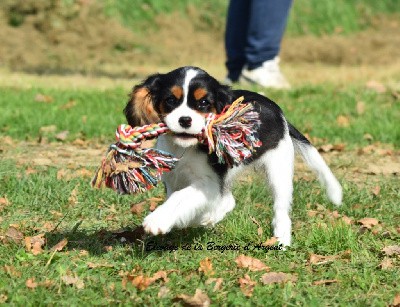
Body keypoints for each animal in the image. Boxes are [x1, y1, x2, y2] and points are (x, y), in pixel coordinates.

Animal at [123, 66, 342, 247]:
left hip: (279, 168)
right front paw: (184, 220)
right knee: (229, 200)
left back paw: (281, 239)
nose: (185, 120)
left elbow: (181, 198)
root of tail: (282, 116)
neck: (185, 148)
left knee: (280, 207)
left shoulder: (209, 182)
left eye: (204, 103)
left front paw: (157, 220)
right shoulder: (174, 178)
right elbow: (182, 200)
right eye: (170, 100)